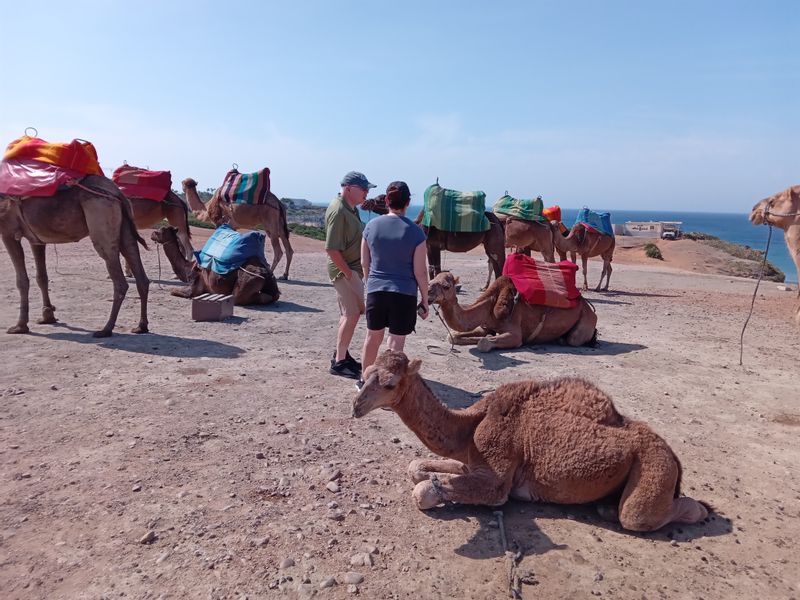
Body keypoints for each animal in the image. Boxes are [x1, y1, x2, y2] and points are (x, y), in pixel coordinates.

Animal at [151, 227, 282, 308]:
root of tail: (265, 272)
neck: (188, 267)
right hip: (271, 280)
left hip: (248, 281)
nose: (152, 234)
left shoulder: (194, 287)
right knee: (273, 295)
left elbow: (173, 291)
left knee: (245, 297)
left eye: (160, 231)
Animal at [354, 350, 708, 532]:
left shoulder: (497, 479)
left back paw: (698, 511)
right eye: (364, 372)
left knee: (641, 515)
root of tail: (673, 455)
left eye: (389, 383)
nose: (356, 406)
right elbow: (416, 467)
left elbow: (424, 491)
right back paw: (605, 507)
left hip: (653, 467)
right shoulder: (471, 459)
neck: (472, 422)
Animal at [428, 268, 596, 352]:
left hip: (584, 321)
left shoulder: (514, 332)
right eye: (431, 280)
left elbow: (484, 343)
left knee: (574, 339)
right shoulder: (485, 326)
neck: (490, 305)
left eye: (446, 286)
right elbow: (453, 336)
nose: (428, 292)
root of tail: (589, 308)